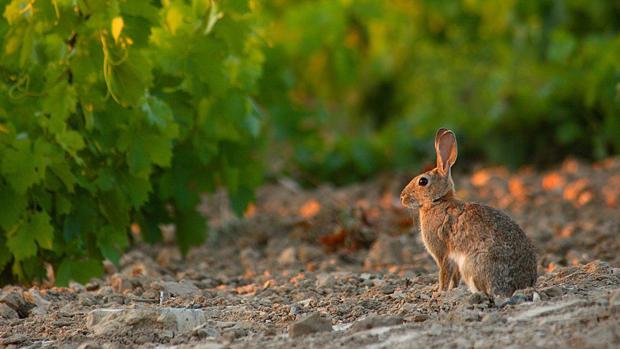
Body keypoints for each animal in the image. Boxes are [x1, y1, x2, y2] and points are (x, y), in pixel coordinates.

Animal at [400, 128, 536, 296]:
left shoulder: (442, 252)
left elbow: (444, 273)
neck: (438, 201)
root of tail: (523, 285)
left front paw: (439, 292)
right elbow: (454, 277)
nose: (402, 197)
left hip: (472, 265)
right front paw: (451, 290)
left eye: (423, 181)